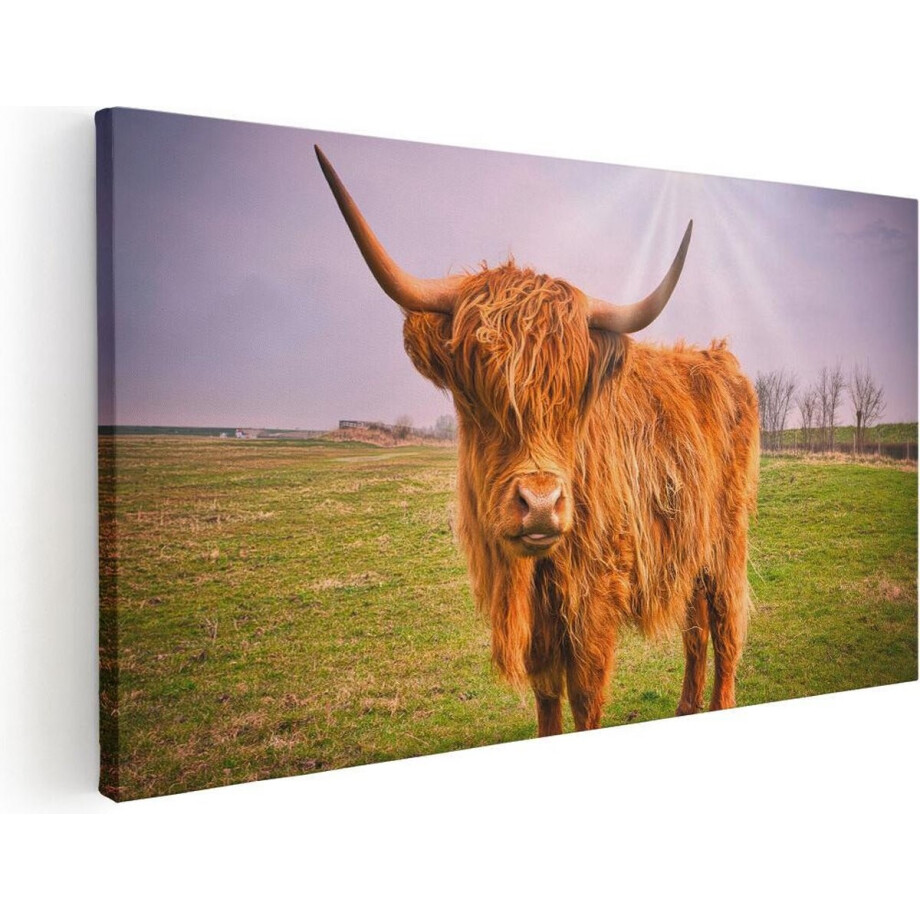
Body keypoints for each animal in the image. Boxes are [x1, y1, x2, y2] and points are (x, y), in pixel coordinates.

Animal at [315, 145, 759, 736]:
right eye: (475, 393)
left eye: (574, 398)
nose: (542, 504)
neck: (534, 575)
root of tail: (717, 358)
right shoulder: (541, 621)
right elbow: (547, 693)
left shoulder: (595, 595)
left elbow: (585, 695)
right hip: (688, 540)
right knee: (696, 623)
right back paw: (687, 707)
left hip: (726, 538)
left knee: (725, 618)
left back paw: (720, 703)